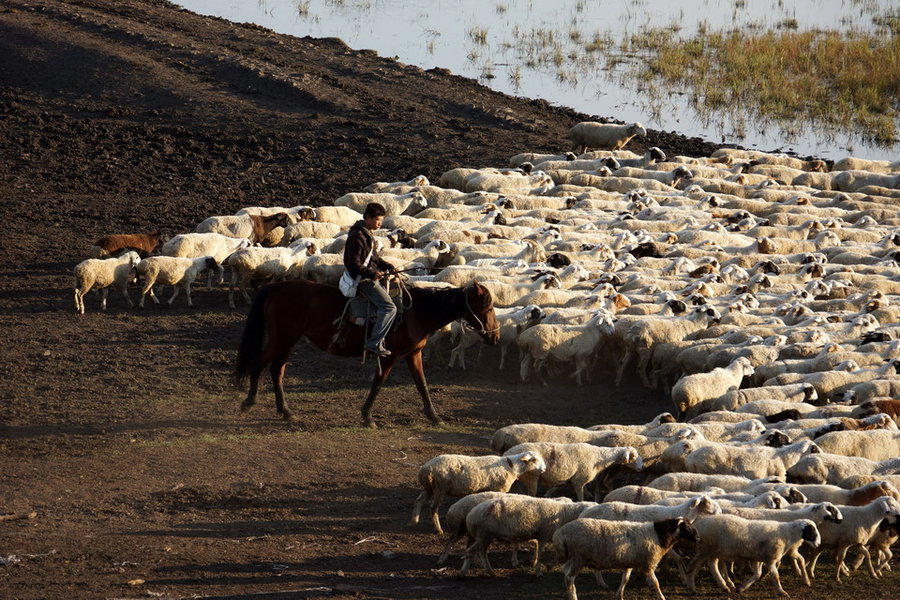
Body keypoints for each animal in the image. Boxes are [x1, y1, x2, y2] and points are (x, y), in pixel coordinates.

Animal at [234, 280, 500, 426]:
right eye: (487, 308)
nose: (495, 337)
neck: (415, 313)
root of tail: (275, 286)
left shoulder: (413, 354)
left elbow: (422, 385)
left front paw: (434, 416)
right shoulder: (389, 355)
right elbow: (378, 383)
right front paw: (368, 417)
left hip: (288, 341)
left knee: (276, 370)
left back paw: (285, 411)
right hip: (282, 339)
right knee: (258, 364)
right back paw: (249, 402)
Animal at [410, 450, 548, 536]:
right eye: (535, 460)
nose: (544, 469)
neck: (512, 467)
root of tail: (425, 469)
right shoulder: (498, 489)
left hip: (429, 488)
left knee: (419, 500)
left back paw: (414, 521)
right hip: (440, 487)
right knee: (433, 508)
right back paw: (438, 529)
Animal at [458, 496, 596, 576]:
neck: (564, 514)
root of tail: (470, 515)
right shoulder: (543, 535)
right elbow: (541, 554)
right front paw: (539, 572)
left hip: (484, 536)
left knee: (479, 552)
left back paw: (485, 571)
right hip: (484, 534)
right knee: (472, 552)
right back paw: (469, 572)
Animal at [552, 516, 700, 600]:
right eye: (687, 526)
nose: (698, 537)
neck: (659, 535)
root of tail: (560, 532)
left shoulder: (630, 562)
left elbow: (625, 579)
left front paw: (620, 595)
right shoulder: (648, 563)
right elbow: (656, 583)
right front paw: (662, 597)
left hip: (574, 558)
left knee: (566, 573)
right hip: (578, 558)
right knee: (569, 577)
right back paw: (573, 596)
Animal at [684, 516, 820, 596]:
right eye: (812, 531)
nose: (818, 544)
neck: (788, 534)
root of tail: (698, 524)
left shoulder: (758, 558)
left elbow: (758, 574)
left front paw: (742, 588)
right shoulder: (770, 558)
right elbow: (775, 575)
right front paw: (782, 592)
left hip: (713, 551)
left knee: (712, 566)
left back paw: (724, 586)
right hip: (705, 549)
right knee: (693, 565)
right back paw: (692, 587)